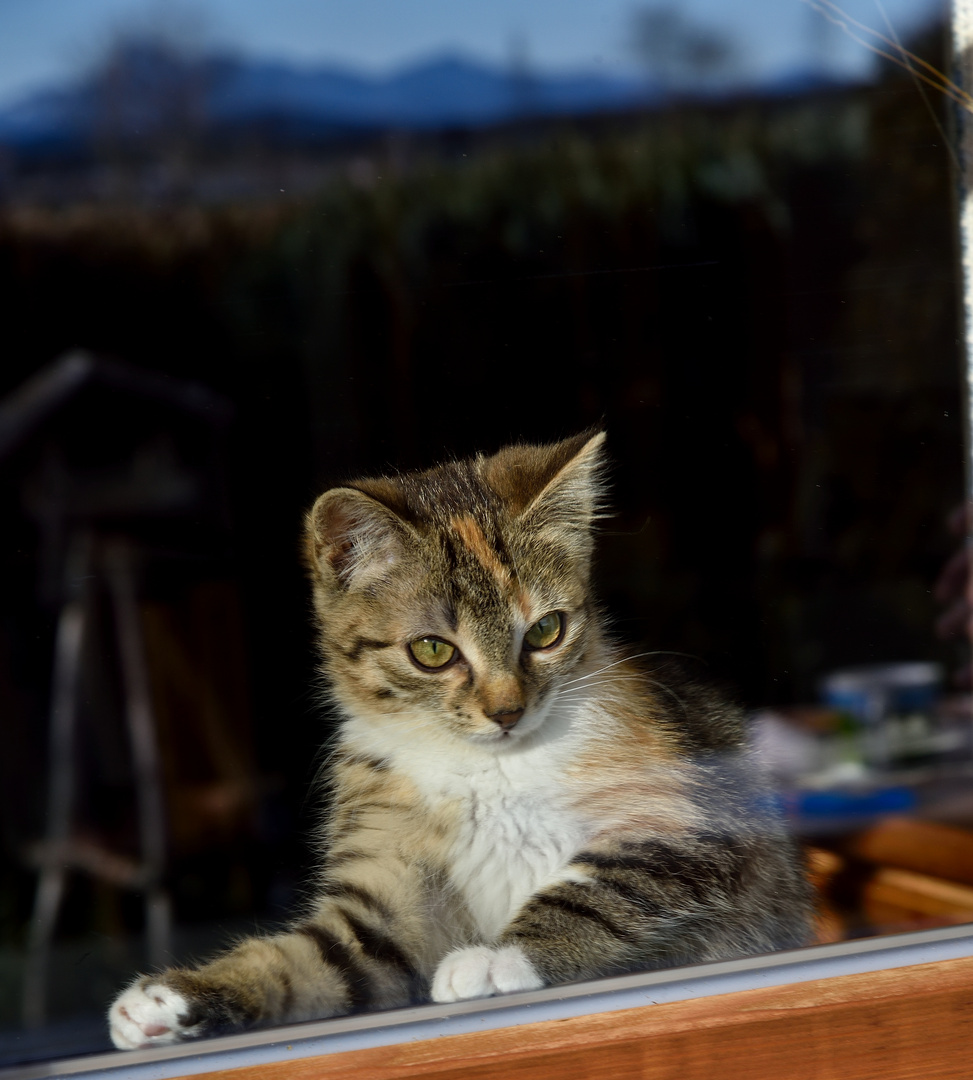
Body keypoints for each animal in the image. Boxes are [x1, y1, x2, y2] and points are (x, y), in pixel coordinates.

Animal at [106, 429, 807, 1045]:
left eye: (547, 630)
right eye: (433, 650)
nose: (507, 711)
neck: (486, 767)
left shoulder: (682, 817)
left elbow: (599, 891)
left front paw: (498, 959)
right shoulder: (387, 878)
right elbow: (329, 955)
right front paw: (180, 998)